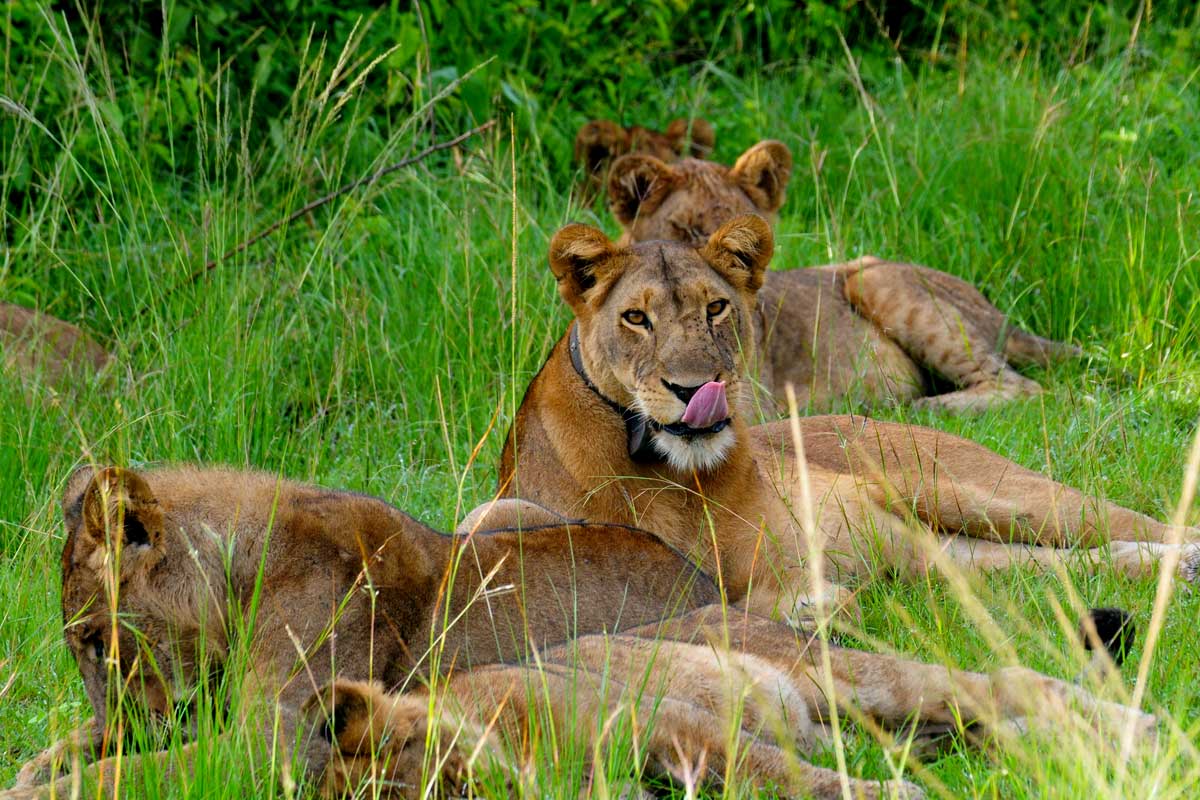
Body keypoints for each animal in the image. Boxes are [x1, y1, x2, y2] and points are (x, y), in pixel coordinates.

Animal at [4, 465, 715, 796]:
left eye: (98, 643)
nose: (122, 723)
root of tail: (706, 576)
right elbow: (82, 749)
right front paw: (38, 768)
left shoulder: (281, 744)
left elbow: (124, 775)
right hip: (499, 514)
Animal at [489, 219, 1200, 623]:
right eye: (635, 318)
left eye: (717, 307)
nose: (695, 389)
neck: (664, 467)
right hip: (948, 558)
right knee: (1067, 563)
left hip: (983, 489)